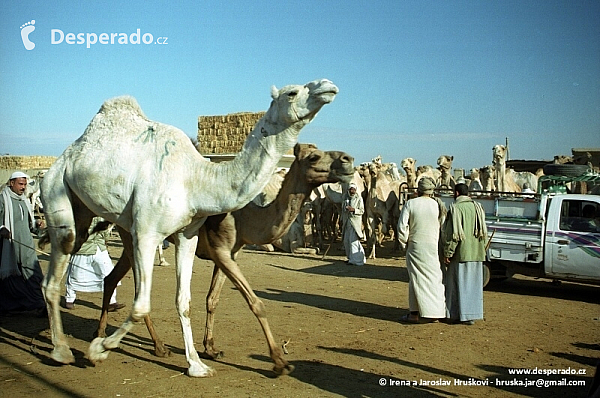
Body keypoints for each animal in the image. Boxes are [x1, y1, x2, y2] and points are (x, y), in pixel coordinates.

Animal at [41, 79, 338, 378]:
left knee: (100, 272)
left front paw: (197, 364)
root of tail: (62, 158)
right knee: (55, 274)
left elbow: (185, 301)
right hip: (57, 191)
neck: (196, 181)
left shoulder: (189, 236)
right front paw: (98, 351)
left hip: (99, 218)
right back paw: (63, 350)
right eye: (292, 92)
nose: (328, 86)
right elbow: (141, 304)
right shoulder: (150, 234)